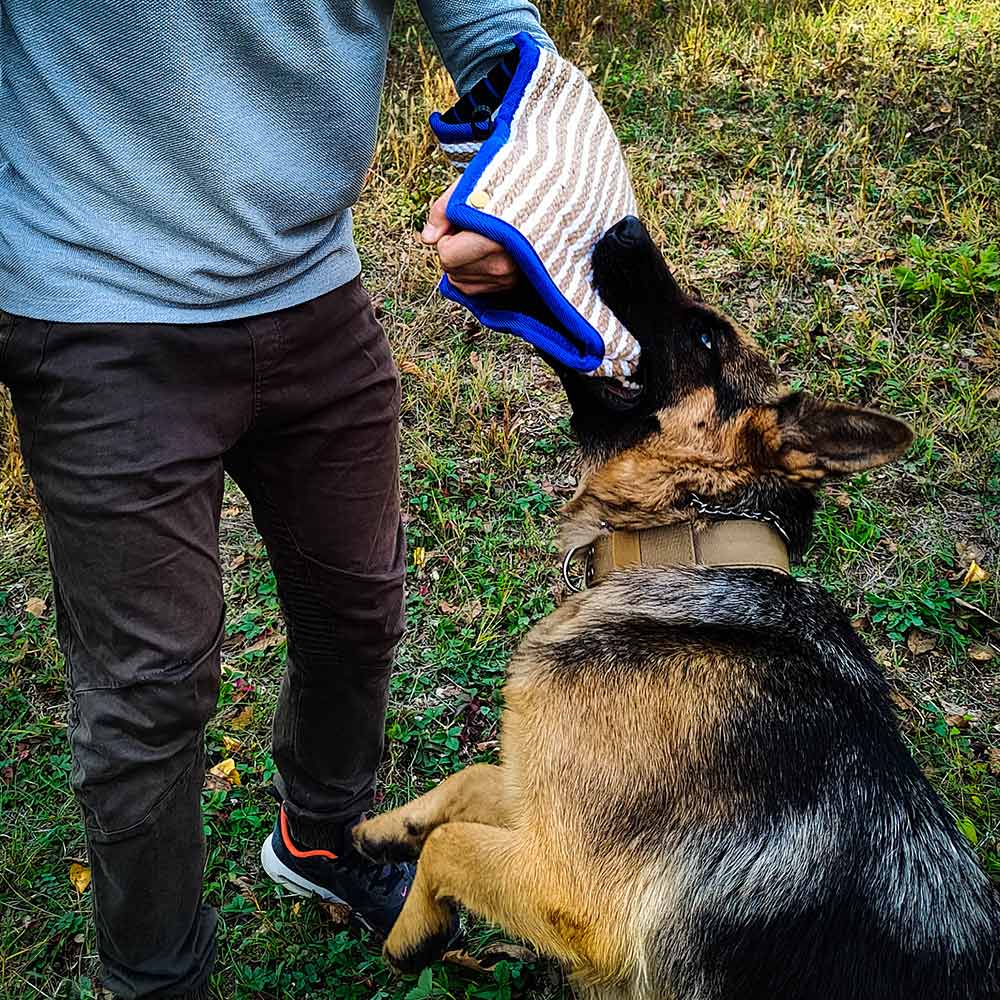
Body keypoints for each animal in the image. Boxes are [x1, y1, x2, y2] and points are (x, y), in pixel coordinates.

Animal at [354, 219, 1000, 1000]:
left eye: (703, 339)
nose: (626, 228)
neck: (692, 541)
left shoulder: (568, 887)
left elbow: (451, 843)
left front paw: (412, 932)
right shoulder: (541, 806)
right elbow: (471, 780)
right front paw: (387, 828)